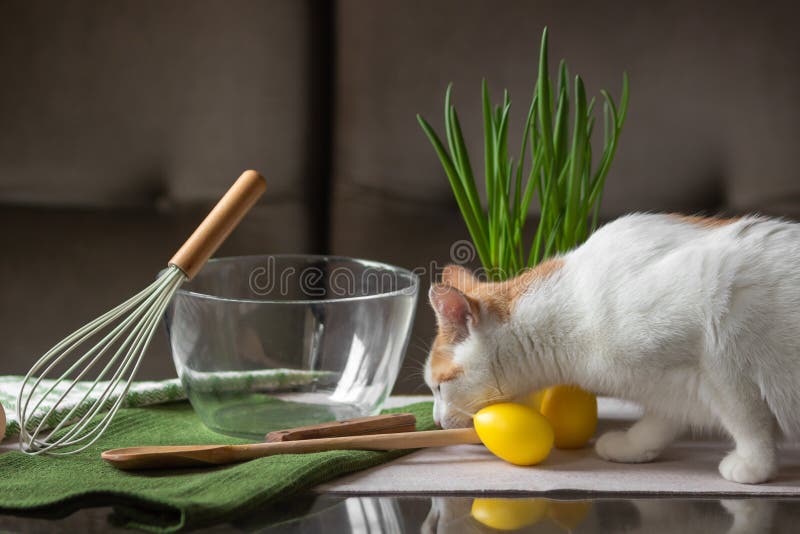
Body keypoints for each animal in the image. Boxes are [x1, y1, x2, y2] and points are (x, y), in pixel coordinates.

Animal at [428, 213, 800, 486]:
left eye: (438, 387)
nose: (435, 420)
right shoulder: (674, 384)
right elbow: (662, 420)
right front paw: (633, 446)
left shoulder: (720, 343)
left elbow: (746, 417)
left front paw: (755, 465)